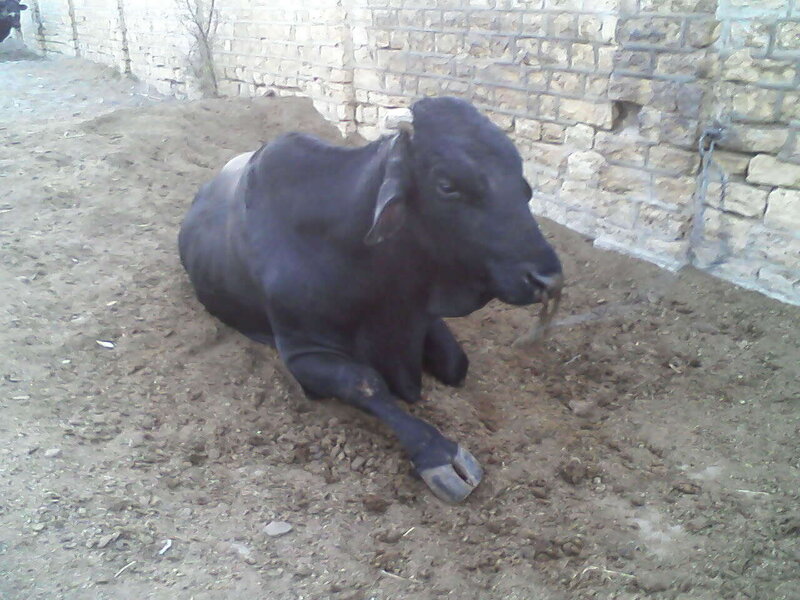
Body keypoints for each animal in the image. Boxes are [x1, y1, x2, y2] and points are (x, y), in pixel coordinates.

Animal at [178, 97, 563, 503]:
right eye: (447, 185)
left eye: (520, 178)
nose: (548, 279)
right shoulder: (302, 351)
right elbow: (365, 383)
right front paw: (439, 453)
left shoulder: (421, 314)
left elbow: (456, 362)